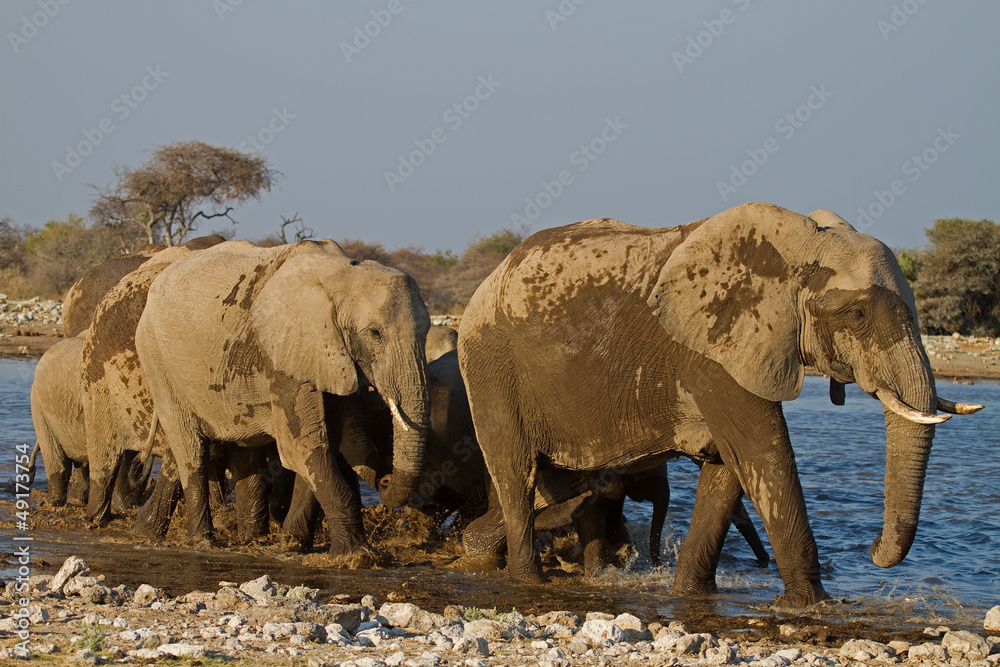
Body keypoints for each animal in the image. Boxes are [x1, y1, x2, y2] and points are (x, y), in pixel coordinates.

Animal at [134, 239, 431, 560]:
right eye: (375, 333)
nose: (386, 480)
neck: (341, 274)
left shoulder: (329, 354)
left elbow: (325, 443)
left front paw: (293, 542)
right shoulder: (284, 352)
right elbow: (302, 446)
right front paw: (356, 556)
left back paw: (156, 532)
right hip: (155, 357)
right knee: (192, 449)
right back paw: (202, 540)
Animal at [457, 202, 982, 607]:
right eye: (856, 314)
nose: (873, 548)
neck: (799, 249)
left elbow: (729, 466)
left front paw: (692, 594)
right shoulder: (713, 354)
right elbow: (761, 453)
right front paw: (811, 606)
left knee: (559, 478)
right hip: (490, 366)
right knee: (516, 471)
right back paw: (526, 580)